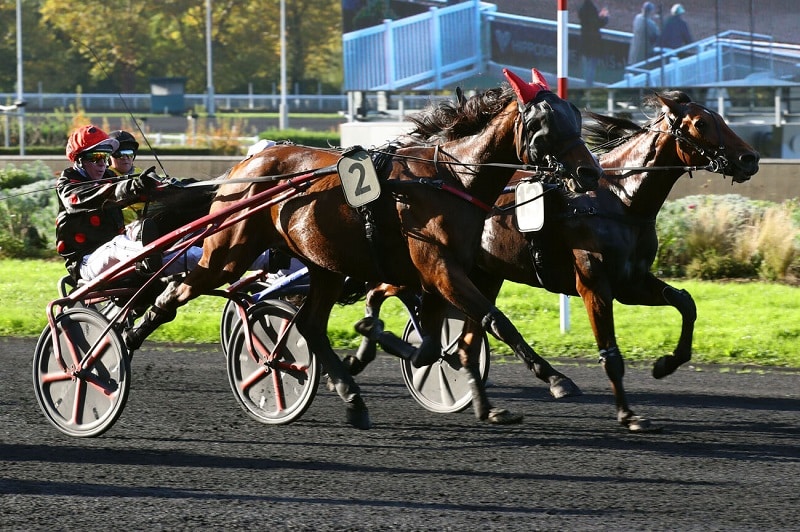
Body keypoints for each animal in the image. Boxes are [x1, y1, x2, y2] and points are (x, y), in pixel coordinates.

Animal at [122, 68, 604, 430]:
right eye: (544, 123)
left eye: (575, 115)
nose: (590, 172)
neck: (450, 179)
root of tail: (240, 168)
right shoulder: (439, 267)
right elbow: (495, 320)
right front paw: (556, 378)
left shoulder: (437, 274)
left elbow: (431, 343)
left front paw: (379, 341)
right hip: (227, 252)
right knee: (177, 291)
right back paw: (125, 337)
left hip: (323, 264)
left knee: (309, 325)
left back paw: (351, 398)